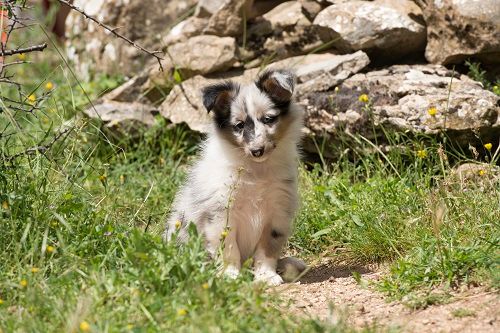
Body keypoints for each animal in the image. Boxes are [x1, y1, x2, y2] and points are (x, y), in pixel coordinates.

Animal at [164, 68, 304, 284]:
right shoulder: (221, 213)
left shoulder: (277, 211)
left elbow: (267, 248)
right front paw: (230, 275)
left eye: (269, 119)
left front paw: (266, 275)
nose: (257, 151)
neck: (256, 171)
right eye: (239, 125)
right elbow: (229, 248)